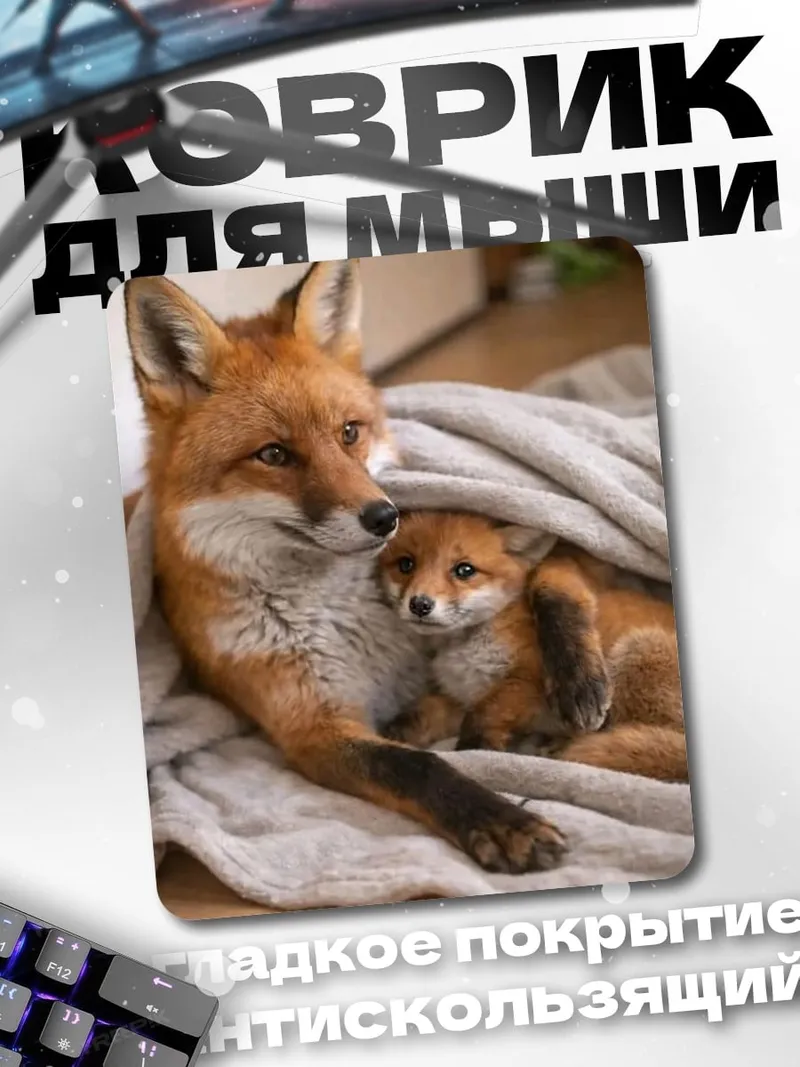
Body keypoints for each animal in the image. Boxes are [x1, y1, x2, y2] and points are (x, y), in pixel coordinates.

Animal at [122, 261, 567, 875]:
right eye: (274, 455)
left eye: (350, 432)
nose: (386, 517)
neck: (339, 622)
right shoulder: (314, 729)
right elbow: (420, 765)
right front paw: (499, 819)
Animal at [379, 511, 688, 783]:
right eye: (406, 565)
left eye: (464, 570)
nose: (420, 604)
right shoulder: (462, 696)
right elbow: (423, 712)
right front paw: (392, 735)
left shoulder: (527, 683)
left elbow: (484, 716)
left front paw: (476, 751)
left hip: (635, 654)